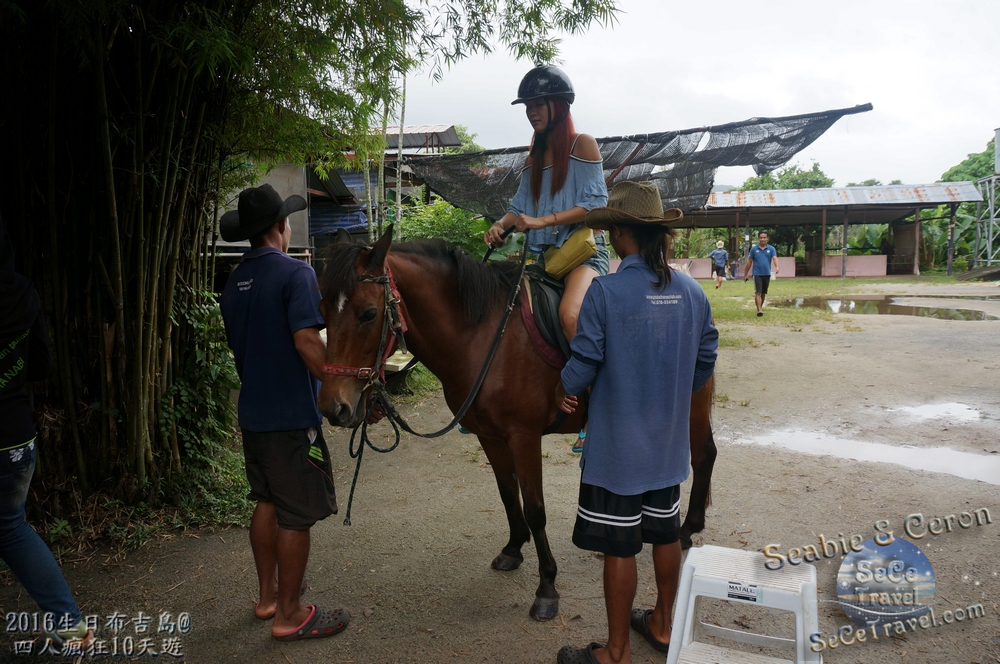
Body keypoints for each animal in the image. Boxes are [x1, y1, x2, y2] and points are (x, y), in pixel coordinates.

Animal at [316, 230, 716, 624]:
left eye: (368, 314)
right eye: (321, 313)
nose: (334, 408)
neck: (482, 337)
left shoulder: (524, 437)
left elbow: (535, 508)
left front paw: (547, 587)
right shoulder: (490, 436)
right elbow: (508, 494)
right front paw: (513, 548)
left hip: (690, 405)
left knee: (703, 457)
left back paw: (686, 529)